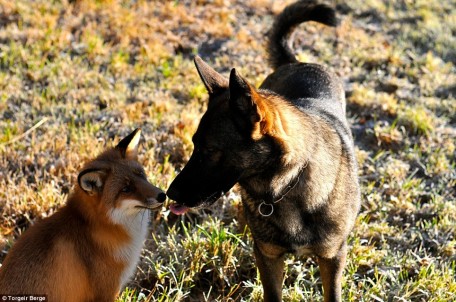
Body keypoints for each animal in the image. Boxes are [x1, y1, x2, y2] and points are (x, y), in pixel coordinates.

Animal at [167, 1, 360, 300]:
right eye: (194, 144)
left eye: (209, 150)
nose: (168, 194)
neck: (286, 185)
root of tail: (295, 62)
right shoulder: (267, 256)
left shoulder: (333, 257)